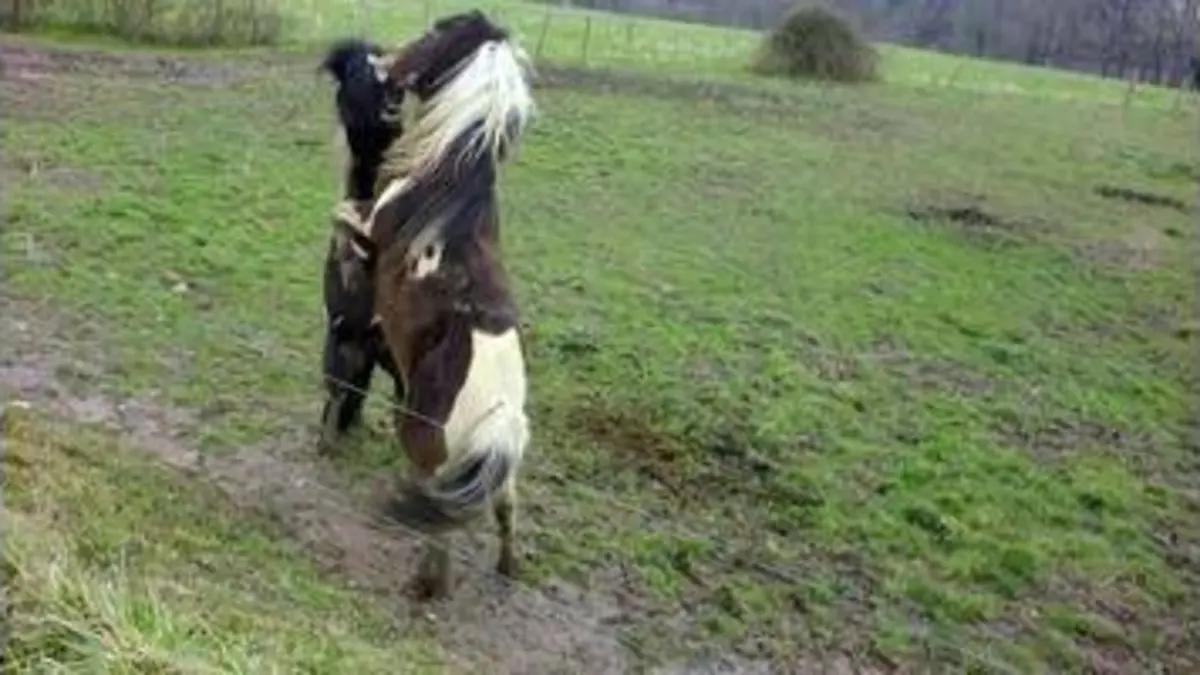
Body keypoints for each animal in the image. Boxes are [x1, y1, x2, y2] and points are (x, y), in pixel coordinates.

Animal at [331, 9, 536, 599]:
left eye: (433, 34)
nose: (382, 61)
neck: (450, 183)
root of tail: (499, 414)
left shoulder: (373, 224)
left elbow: (344, 215)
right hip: (499, 467)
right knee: (504, 505)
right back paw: (508, 568)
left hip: (429, 443)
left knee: (440, 515)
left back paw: (428, 582)